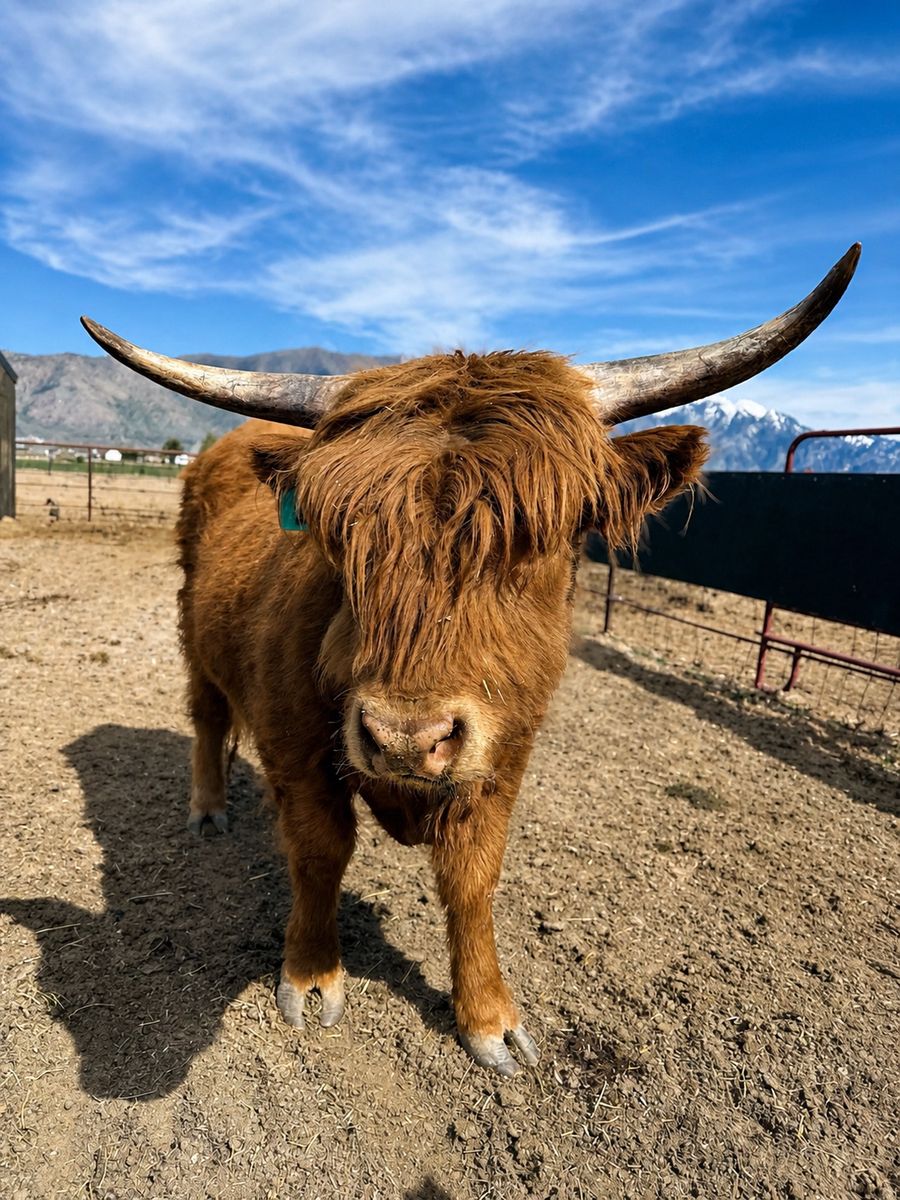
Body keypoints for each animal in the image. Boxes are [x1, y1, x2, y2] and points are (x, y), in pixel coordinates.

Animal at [82, 244, 859, 1076]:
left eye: (540, 538)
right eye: (338, 536)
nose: (405, 739)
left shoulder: (506, 751)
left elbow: (473, 876)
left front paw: (489, 1015)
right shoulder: (296, 744)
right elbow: (321, 851)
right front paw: (313, 975)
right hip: (192, 629)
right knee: (204, 714)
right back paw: (208, 807)